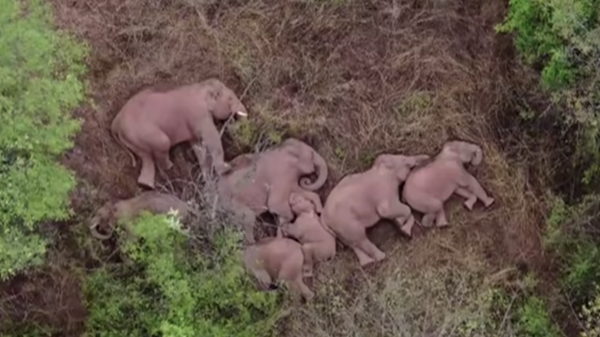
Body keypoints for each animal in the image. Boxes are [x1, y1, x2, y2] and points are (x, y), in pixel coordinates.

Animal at [109, 78, 247, 189]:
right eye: (230, 98)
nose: (232, 121)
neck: (201, 86)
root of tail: (115, 123)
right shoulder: (199, 114)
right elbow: (210, 138)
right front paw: (227, 168)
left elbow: (197, 146)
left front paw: (208, 180)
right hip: (142, 132)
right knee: (163, 144)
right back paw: (169, 168)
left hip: (132, 139)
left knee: (146, 157)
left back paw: (146, 186)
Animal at [200, 136, 328, 244]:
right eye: (312, 154)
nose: (307, 179)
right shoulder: (280, 176)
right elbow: (276, 205)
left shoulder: (289, 178)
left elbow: (300, 191)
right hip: (233, 205)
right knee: (248, 220)